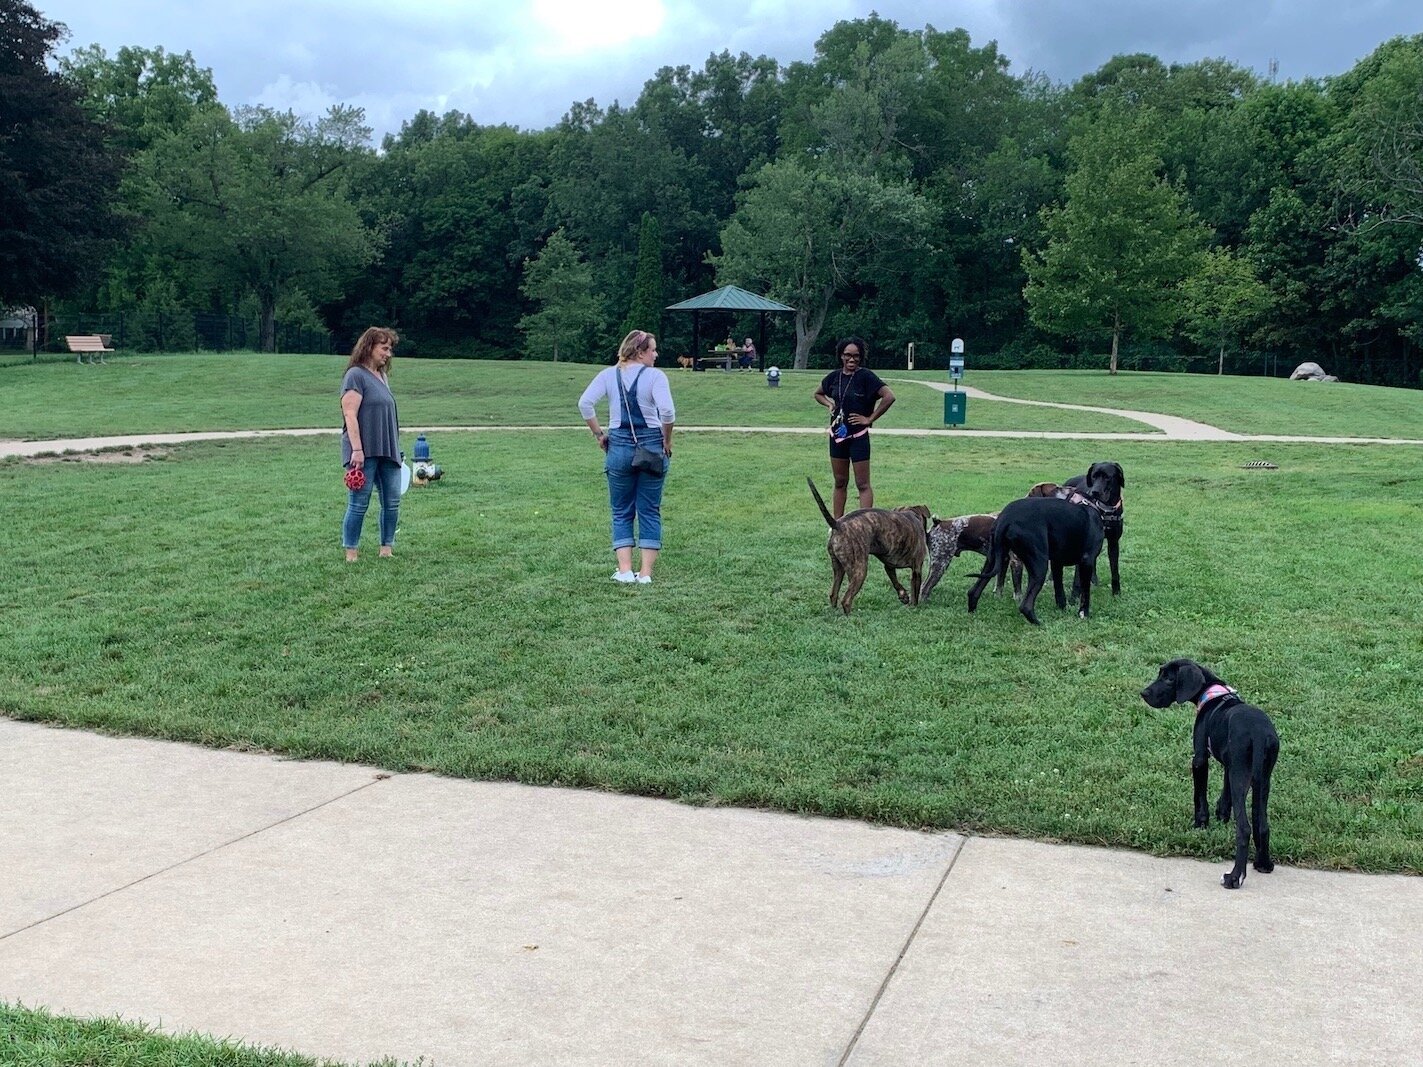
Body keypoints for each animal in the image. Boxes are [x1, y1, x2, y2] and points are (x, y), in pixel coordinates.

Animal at [813, 478, 933, 614]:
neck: (912, 514)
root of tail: (838, 524)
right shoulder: (917, 568)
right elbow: (915, 591)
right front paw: (914, 606)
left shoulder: (889, 566)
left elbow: (896, 582)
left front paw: (903, 596)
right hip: (859, 570)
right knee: (846, 600)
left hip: (838, 568)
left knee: (833, 594)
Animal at [961, 500, 1104, 625]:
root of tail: (1005, 519)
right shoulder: (1087, 561)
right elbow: (1085, 593)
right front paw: (1083, 614)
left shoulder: (1057, 563)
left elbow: (1060, 591)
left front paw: (1062, 610)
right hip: (1039, 565)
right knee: (1026, 606)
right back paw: (1038, 623)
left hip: (994, 558)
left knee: (974, 591)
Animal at [1070, 460, 1121, 594]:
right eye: (1094, 476)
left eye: (1107, 477)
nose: (1095, 492)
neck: (1105, 511)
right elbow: (1078, 574)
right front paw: (1075, 594)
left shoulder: (1114, 542)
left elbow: (1115, 570)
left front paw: (1116, 592)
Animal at [1138, 660, 1286, 893]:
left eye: (1169, 678)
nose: (1144, 693)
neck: (1212, 693)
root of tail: (1259, 733)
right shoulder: (1229, 763)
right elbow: (1224, 790)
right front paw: (1222, 815)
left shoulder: (1200, 758)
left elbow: (1199, 795)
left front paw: (1200, 823)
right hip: (1261, 778)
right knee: (1262, 824)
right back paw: (1263, 864)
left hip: (1243, 776)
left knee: (1244, 828)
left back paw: (1234, 877)